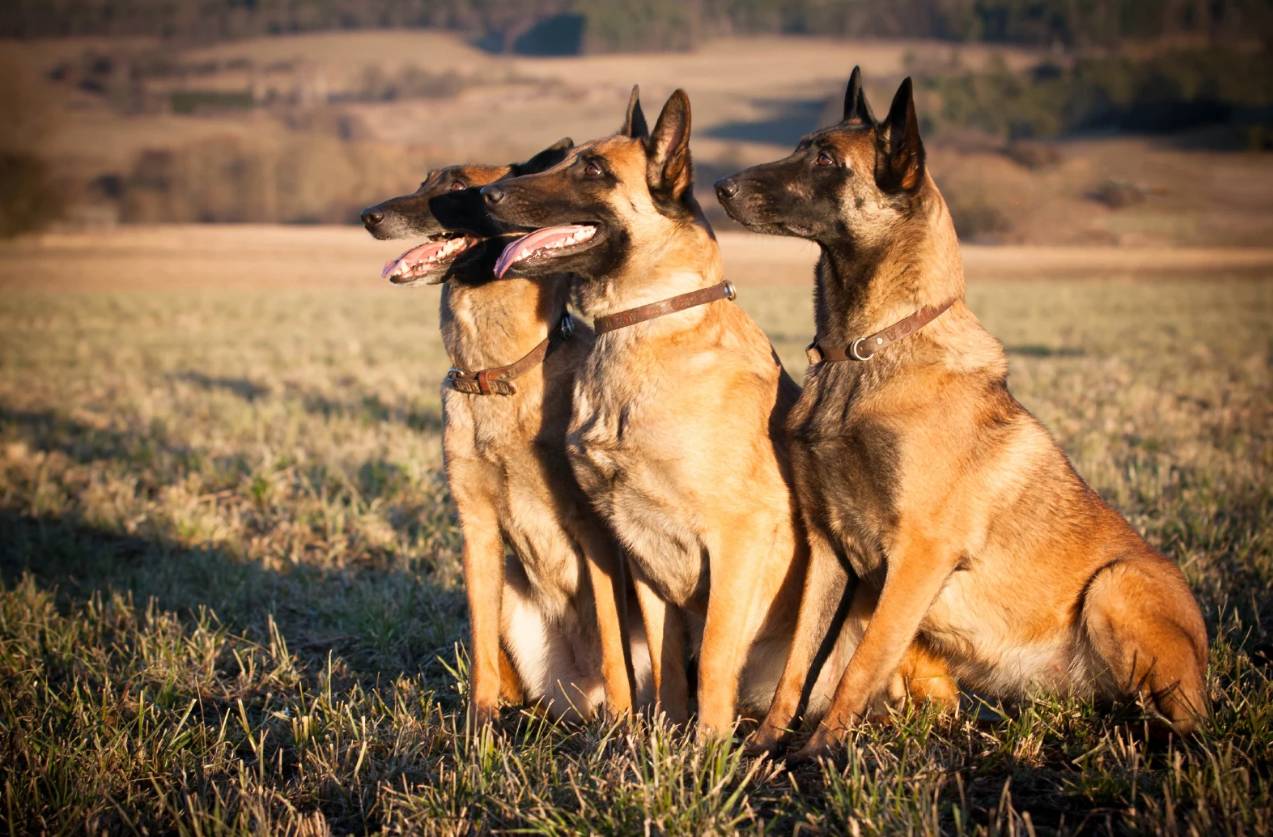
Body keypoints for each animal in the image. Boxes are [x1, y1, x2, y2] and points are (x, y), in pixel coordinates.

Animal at [364, 139, 651, 722]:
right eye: (423, 181)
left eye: (457, 189)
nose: (369, 216)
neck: (497, 375)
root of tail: (573, 693)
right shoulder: (475, 532)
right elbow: (479, 654)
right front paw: (478, 729)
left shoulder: (595, 532)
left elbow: (614, 644)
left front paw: (623, 729)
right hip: (511, 596)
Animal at [478, 87, 947, 732]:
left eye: (593, 170)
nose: (487, 196)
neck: (644, 324)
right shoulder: (642, 554)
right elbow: (670, 669)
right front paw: (661, 741)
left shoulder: (736, 540)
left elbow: (717, 660)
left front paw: (709, 748)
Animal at [717, 68, 1201, 753]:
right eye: (800, 147)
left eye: (826, 160)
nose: (720, 187)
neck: (867, 350)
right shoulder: (828, 551)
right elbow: (797, 665)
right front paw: (765, 748)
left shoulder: (918, 557)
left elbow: (861, 662)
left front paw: (821, 749)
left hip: (1117, 584)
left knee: (1185, 721)